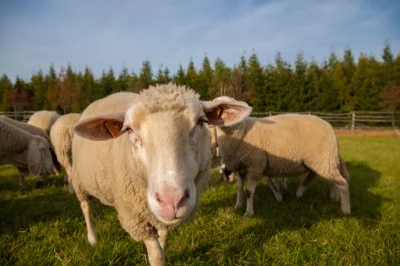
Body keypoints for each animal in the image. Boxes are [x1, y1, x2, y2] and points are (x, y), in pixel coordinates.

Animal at [71, 83, 247, 266]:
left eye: (200, 121)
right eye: (129, 129)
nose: (172, 201)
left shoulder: (161, 219)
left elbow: (163, 239)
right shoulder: (137, 220)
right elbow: (157, 256)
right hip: (78, 179)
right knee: (85, 206)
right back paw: (92, 238)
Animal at [206, 95, 350, 216]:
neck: (242, 131)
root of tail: (330, 127)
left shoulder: (255, 166)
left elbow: (249, 191)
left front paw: (249, 213)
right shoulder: (240, 168)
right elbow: (239, 188)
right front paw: (238, 206)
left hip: (323, 159)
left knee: (342, 183)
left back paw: (345, 210)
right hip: (320, 160)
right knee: (322, 177)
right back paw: (323, 196)